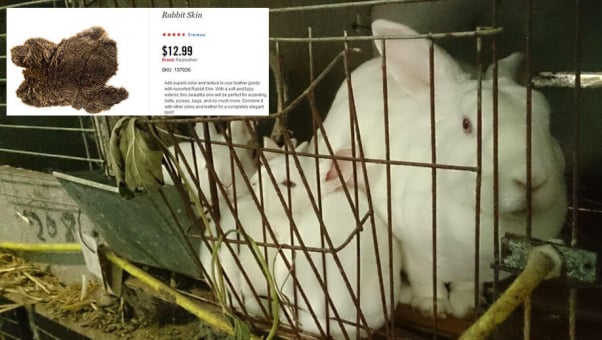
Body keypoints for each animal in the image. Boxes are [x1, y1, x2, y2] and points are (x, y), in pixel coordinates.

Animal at [312, 19, 564, 318]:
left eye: (547, 120)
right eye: (467, 125)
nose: (531, 179)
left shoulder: (475, 269)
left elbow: (467, 284)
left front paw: (465, 306)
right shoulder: (414, 250)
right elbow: (425, 280)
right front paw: (432, 307)